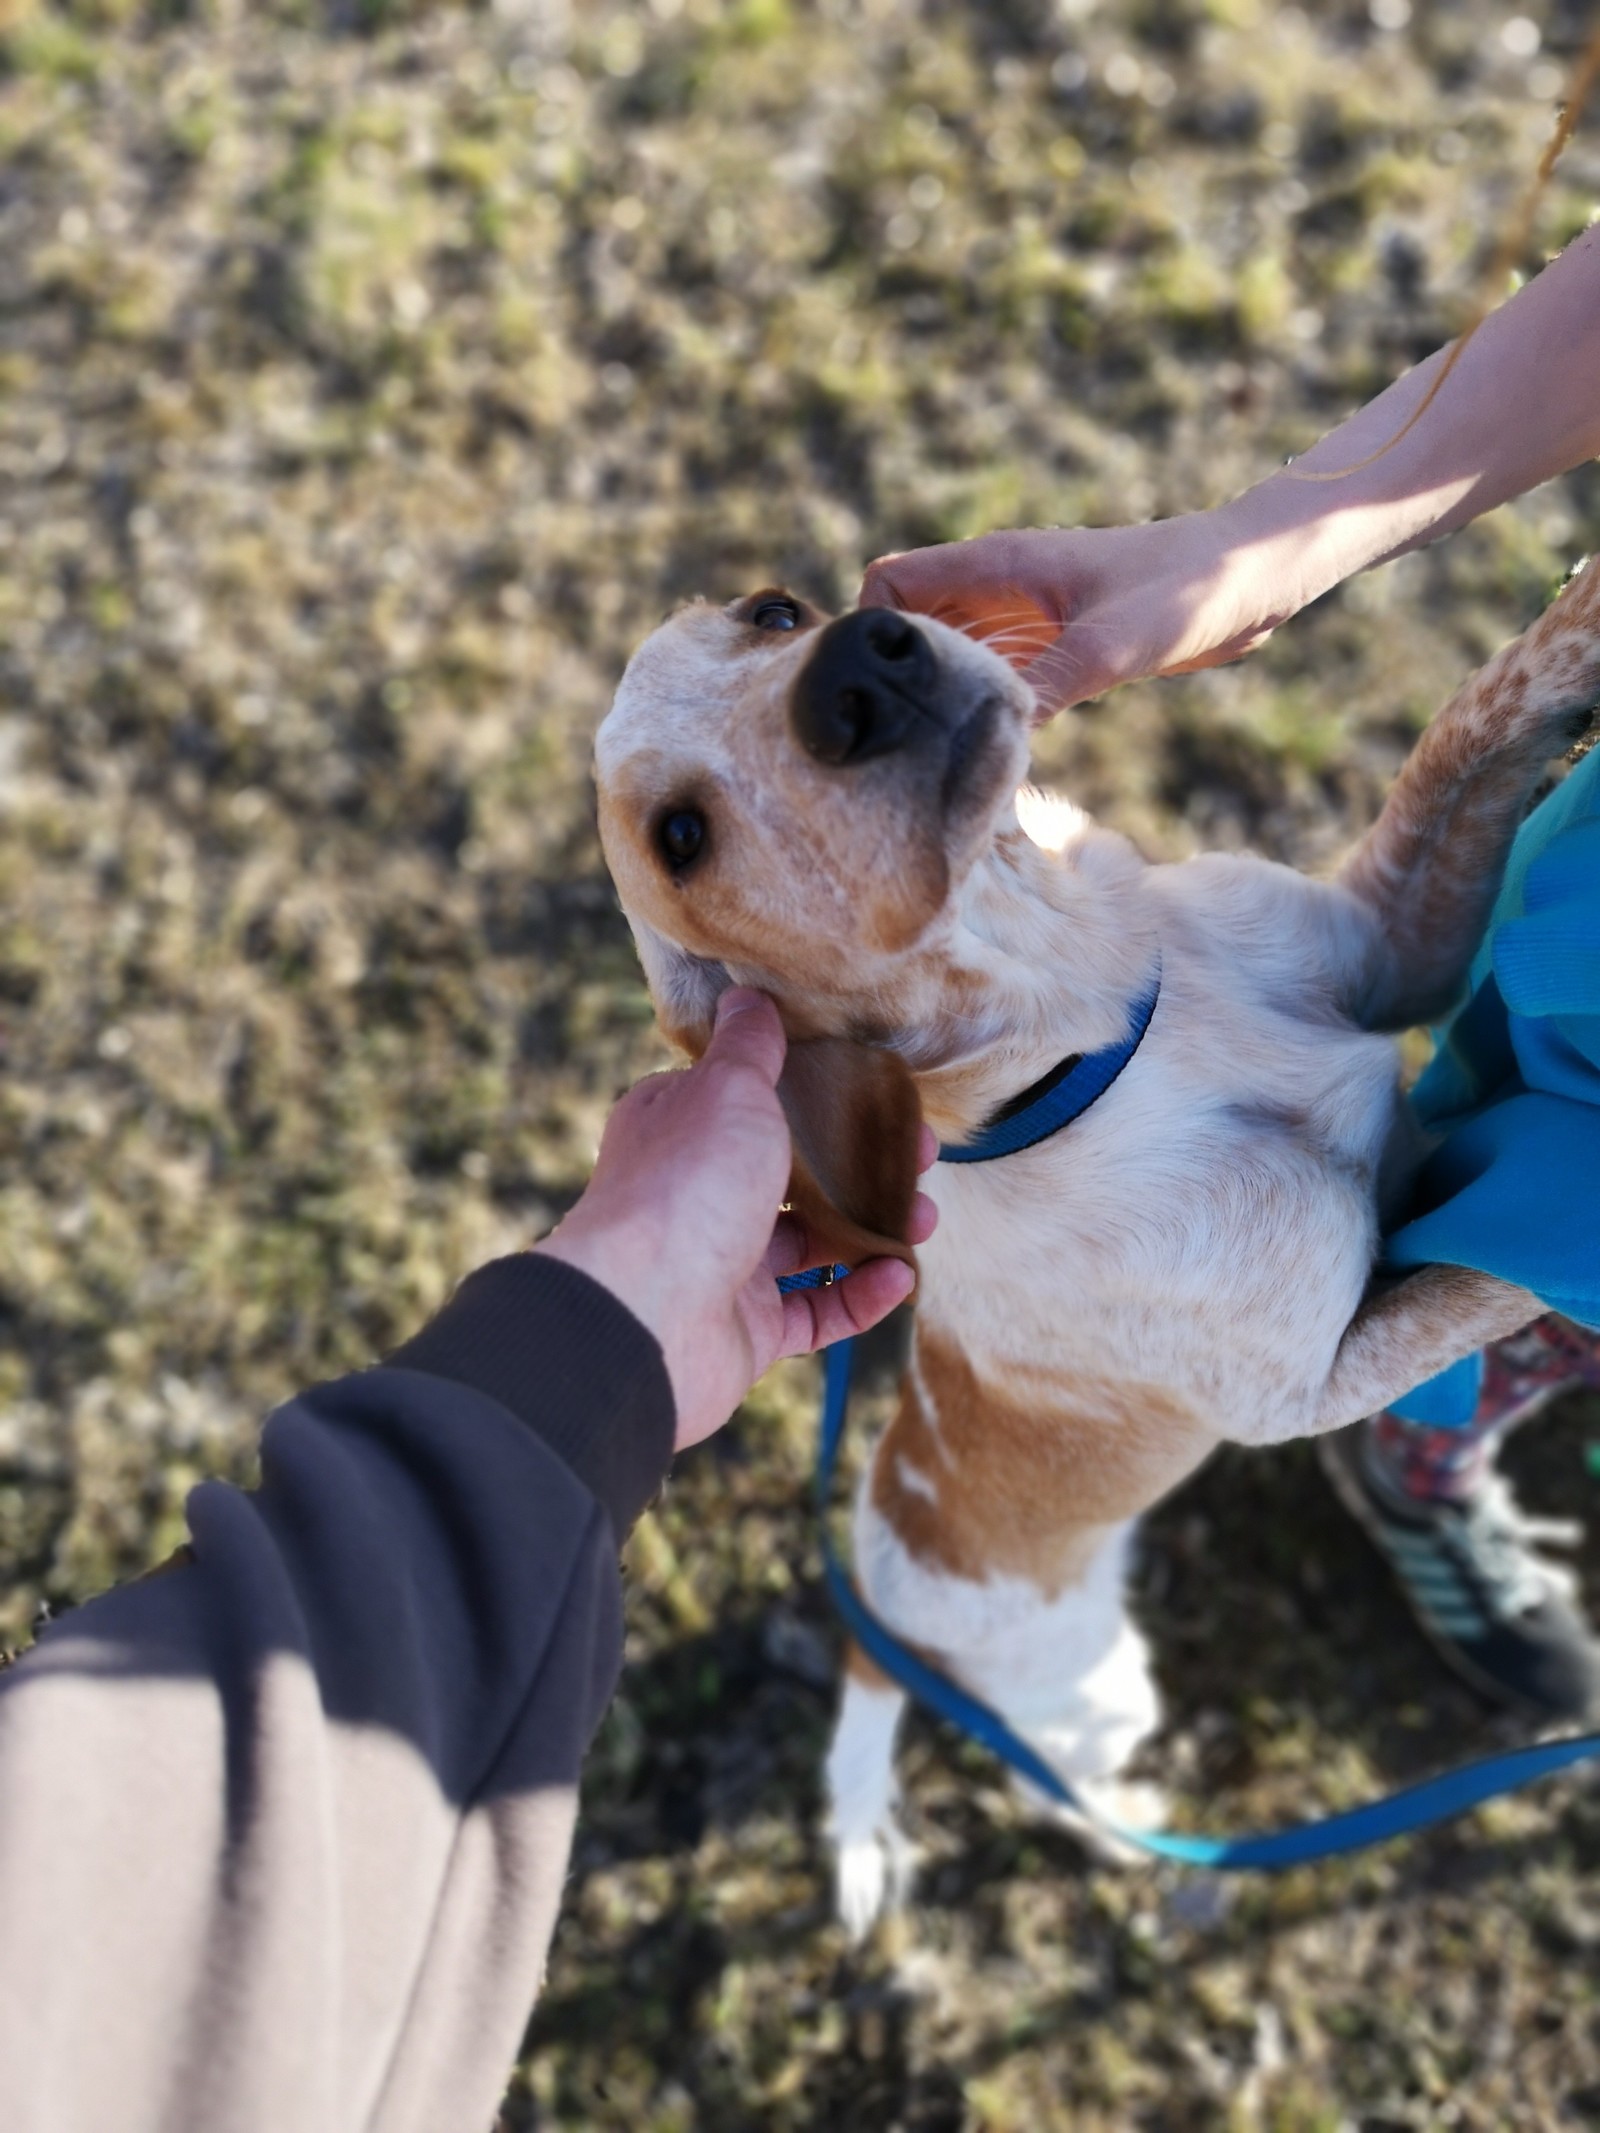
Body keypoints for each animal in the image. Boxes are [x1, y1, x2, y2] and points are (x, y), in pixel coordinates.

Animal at [593, 563, 1600, 1936]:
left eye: (774, 612)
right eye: (679, 840)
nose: (863, 666)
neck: (1103, 1038)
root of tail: (883, 1636)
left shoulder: (1398, 944)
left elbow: (1477, 719)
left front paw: (1584, 618)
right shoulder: (1314, 1377)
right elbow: (1505, 1265)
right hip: (1098, 1698)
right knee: (1051, 1784)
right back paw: (1141, 1843)